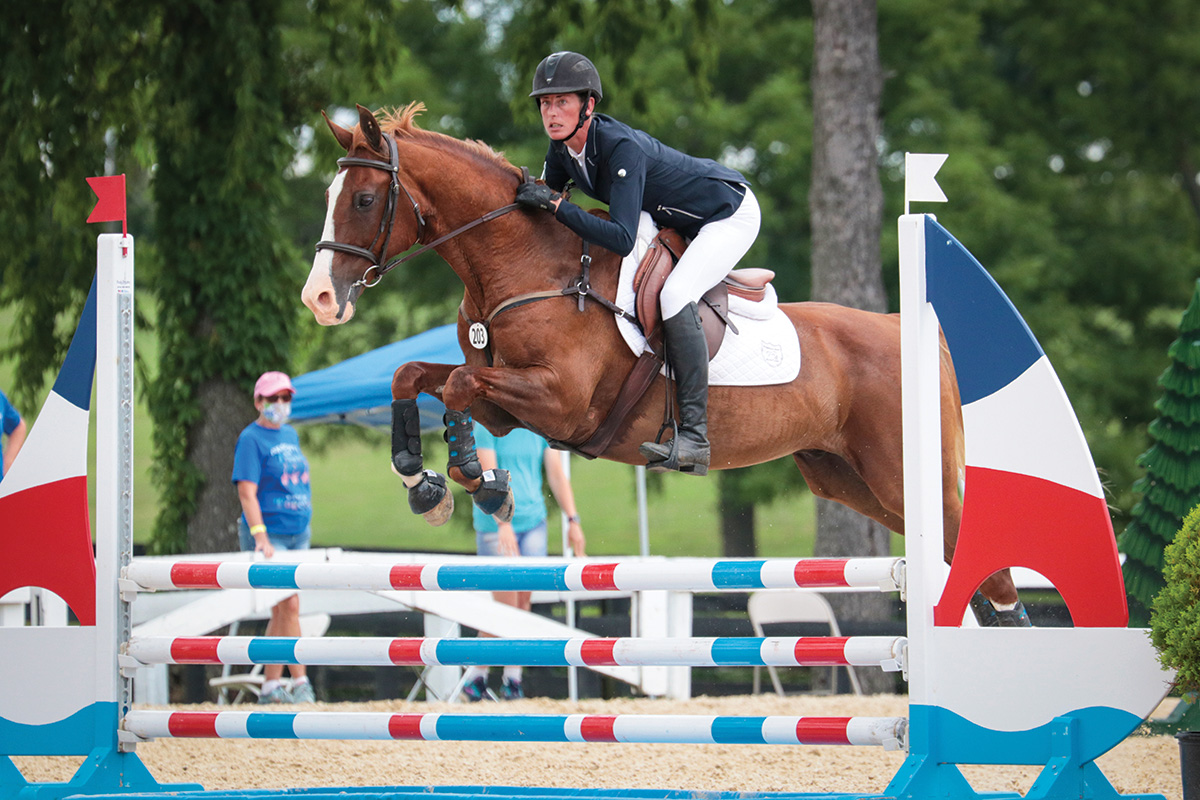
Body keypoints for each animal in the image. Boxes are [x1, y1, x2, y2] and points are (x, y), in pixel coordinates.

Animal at [300, 101, 1022, 623]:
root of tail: (915, 334)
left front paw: (476, 482)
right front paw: (426, 482)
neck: (529, 265)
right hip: (848, 479)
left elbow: (455, 384)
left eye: (363, 200)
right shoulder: (509, 406)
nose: (319, 299)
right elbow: (423, 377)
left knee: (983, 559)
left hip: (902, 474)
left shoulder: (557, 400)